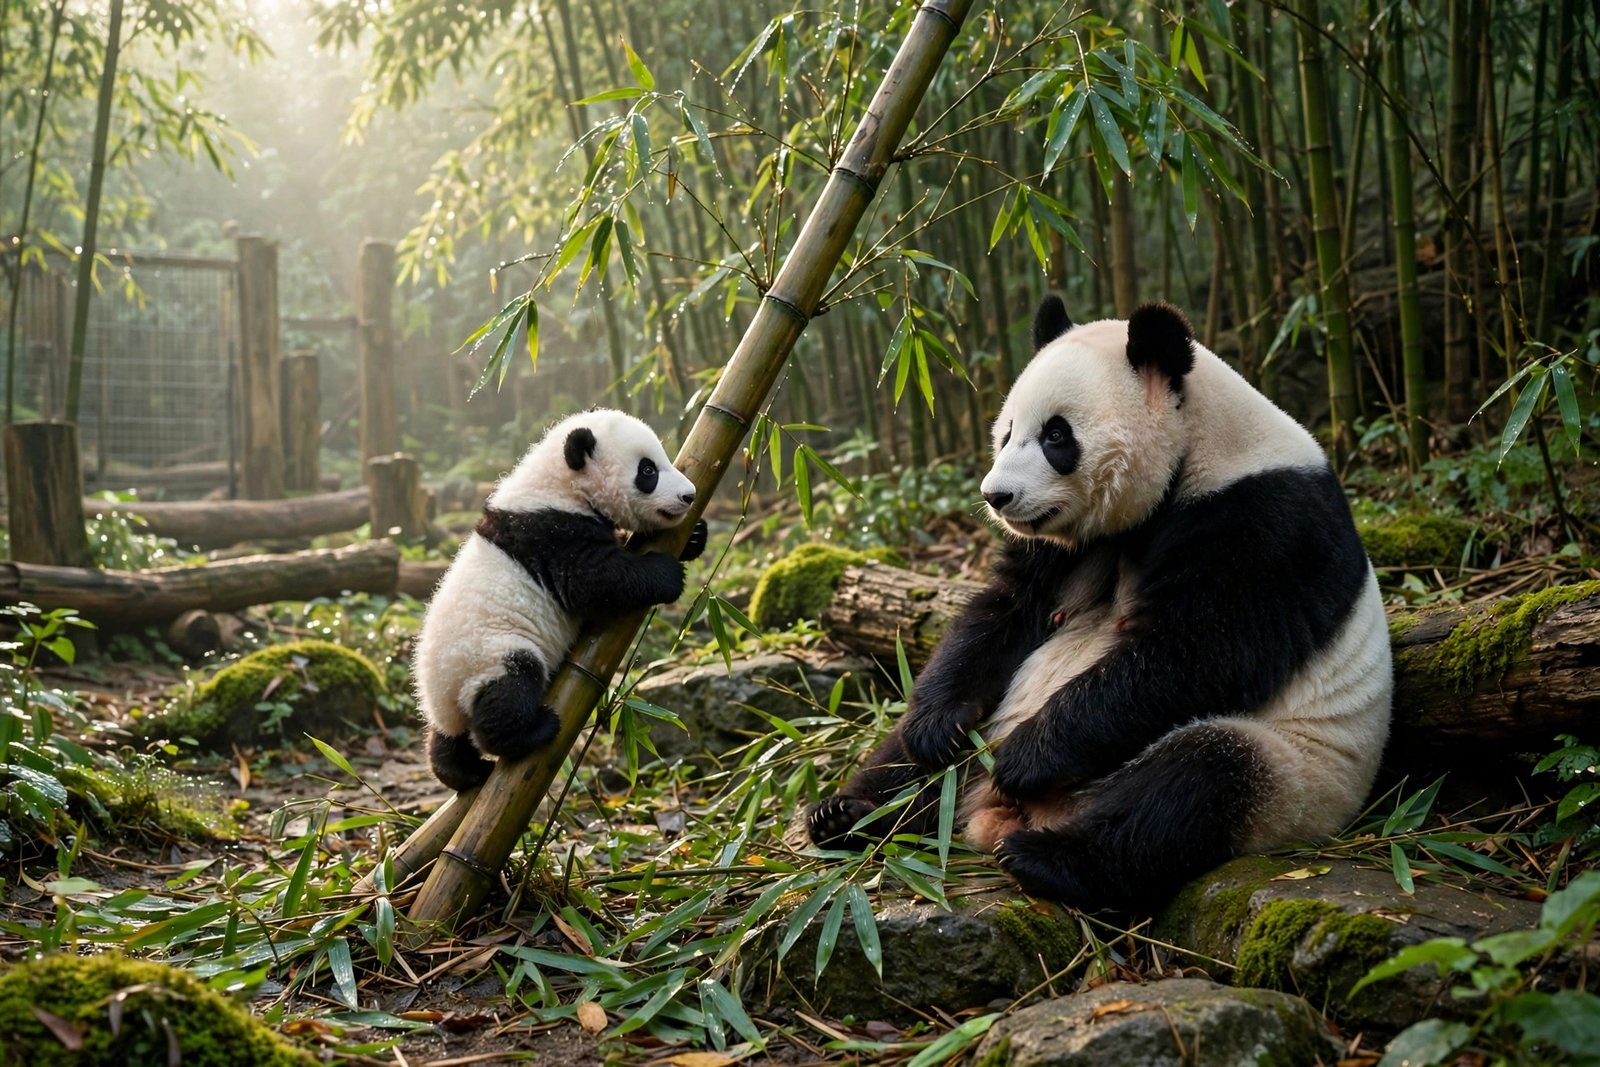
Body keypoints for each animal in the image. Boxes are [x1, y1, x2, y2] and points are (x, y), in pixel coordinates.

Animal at [414, 408, 707, 791]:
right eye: (648, 471)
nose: (689, 496)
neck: (559, 485)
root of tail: (440, 695)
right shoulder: (551, 533)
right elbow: (593, 581)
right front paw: (667, 573)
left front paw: (696, 536)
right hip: (487, 653)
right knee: (511, 686)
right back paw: (531, 732)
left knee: (447, 739)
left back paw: (460, 771)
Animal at [808, 297, 1392, 912]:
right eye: (1007, 432)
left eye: (1056, 435)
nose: (997, 496)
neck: (1199, 449)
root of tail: (995, 813)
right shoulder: (1060, 549)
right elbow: (1002, 614)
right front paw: (937, 726)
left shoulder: (1268, 524)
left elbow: (1194, 654)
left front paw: (1028, 756)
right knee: (907, 762)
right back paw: (850, 815)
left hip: (1294, 775)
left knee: (1193, 783)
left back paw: (1045, 856)